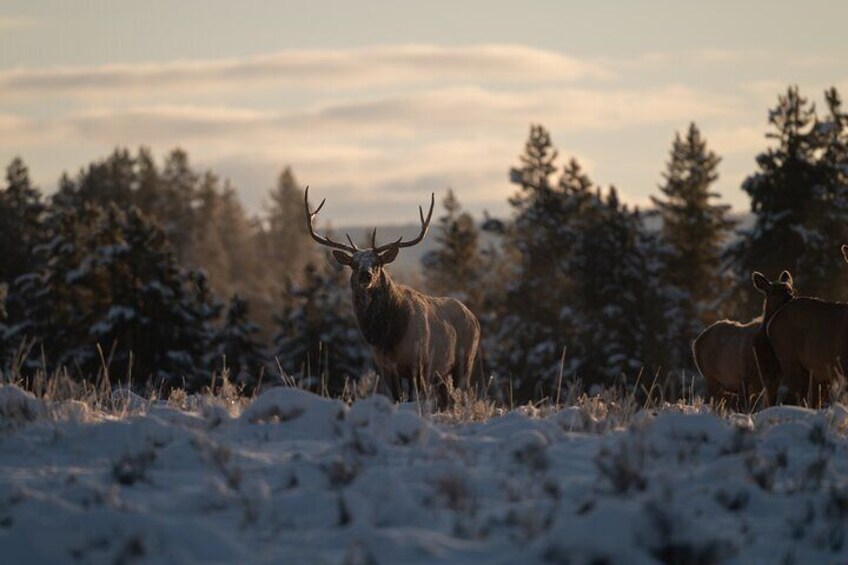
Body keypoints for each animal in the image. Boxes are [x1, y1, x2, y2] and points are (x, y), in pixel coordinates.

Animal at [304, 187, 480, 408]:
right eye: (353, 264)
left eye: (377, 263)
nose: (365, 275)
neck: (387, 336)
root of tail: (474, 318)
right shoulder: (385, 367)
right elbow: (397, 398)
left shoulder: (418, 361)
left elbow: (417, 397)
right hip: (442, 373)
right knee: (448, 398)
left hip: (465, 359)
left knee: (463, 395)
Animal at [696, 270, 796, 408]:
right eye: (773, 292)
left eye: (791, 290)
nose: (790, 298)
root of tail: (696, 342)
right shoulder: (744, 376)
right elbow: (745, 408)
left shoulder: (774, 380)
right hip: (710, 375)